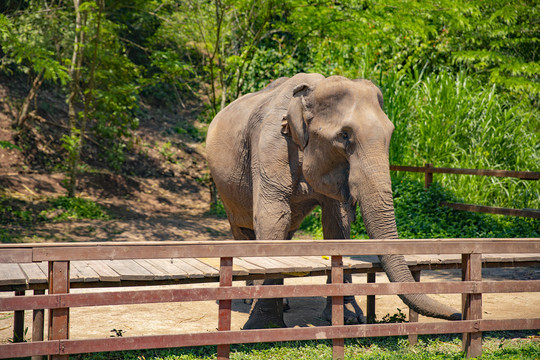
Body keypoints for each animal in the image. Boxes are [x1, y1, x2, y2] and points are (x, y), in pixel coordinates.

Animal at [206, 73, 460, 330]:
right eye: (344, 136)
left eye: (390, 134)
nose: (457, 314)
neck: (310, 91)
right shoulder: (271, 146)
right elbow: (272, 219)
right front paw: (264, 326)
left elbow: (336, 223)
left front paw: (348, 318)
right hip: (226, 187)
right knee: (244, 229)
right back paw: (249, 298)